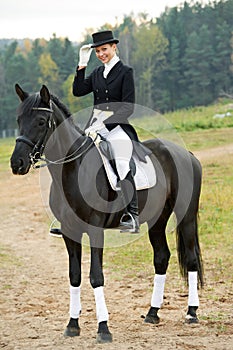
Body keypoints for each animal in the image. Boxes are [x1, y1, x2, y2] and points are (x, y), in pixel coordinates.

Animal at [10, 83, 203, 344]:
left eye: (41, 121)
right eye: (19, 119)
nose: (16, 163)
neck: (73, 169)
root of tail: (186, 153)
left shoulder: (94, 230)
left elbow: (96, 276)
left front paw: (103, 329)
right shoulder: (70, 232)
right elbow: (75, 276)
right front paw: (72, 325)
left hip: (186, 216)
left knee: (191, 258)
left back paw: (191, 313)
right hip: (157, 221)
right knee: (161, 257)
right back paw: (152, 313)